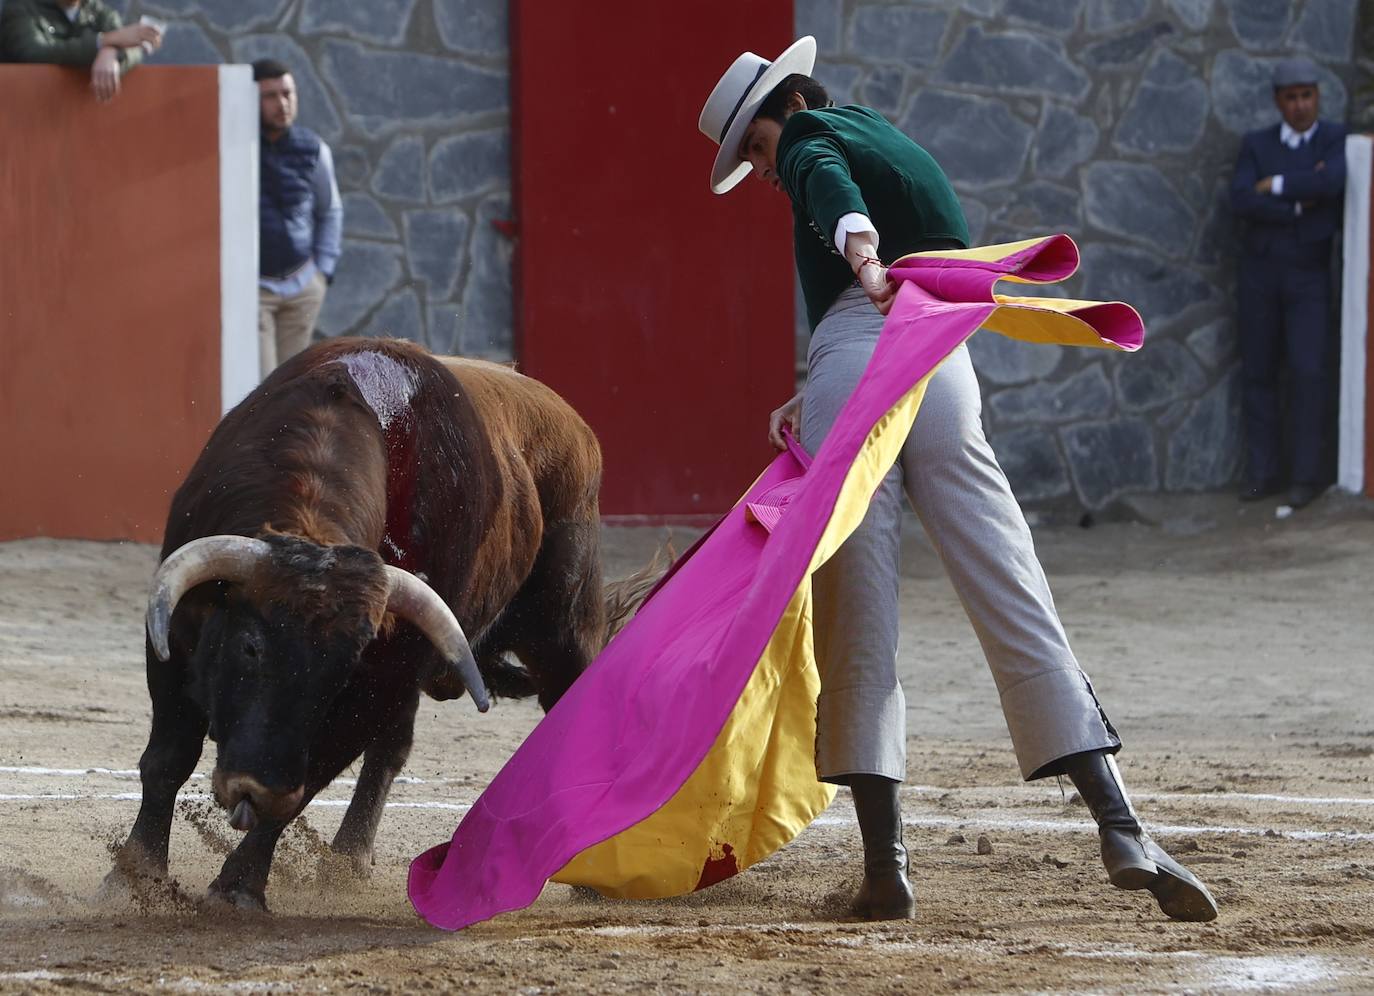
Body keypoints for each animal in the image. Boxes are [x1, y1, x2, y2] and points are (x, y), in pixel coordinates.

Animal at [103, 336, 607, 906]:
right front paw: (133, 876)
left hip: (563, 629)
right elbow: (168, 758)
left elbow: (310, 782)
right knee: (391, 750)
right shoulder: (171, 641)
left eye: (341, 671)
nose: (258, 788)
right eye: (250, 647)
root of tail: (571, 424)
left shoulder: (377, 682)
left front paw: (237, 888)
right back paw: (346, 861)